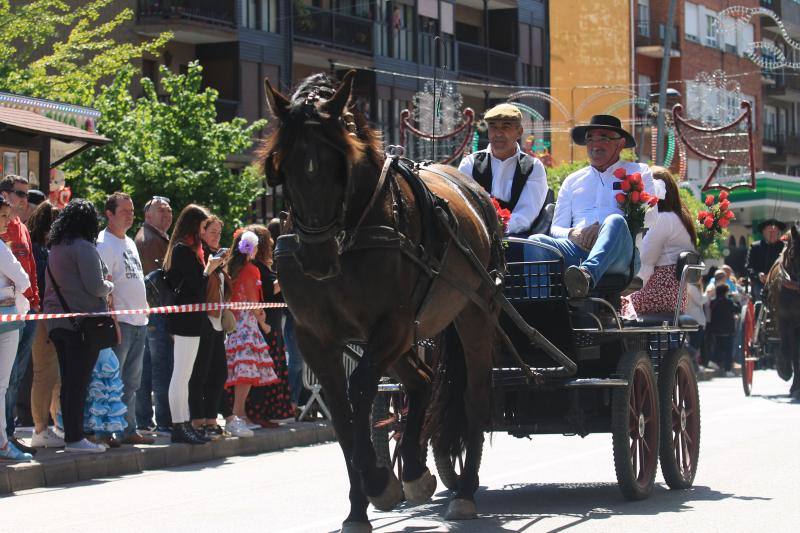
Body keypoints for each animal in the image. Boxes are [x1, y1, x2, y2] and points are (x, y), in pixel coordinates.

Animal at [259, 70, 504, 532]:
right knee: (422, 381)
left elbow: (359, 392)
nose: (316, 257)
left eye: (340, 161)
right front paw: (359, 506)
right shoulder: (315, 337)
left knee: (475, 396)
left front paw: (378, 480)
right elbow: (341, 413)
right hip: (408, 337)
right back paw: (414, 467)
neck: (354, 229)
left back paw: (462, 490)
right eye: (286, 164)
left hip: (473, 315)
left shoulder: (390, 323)